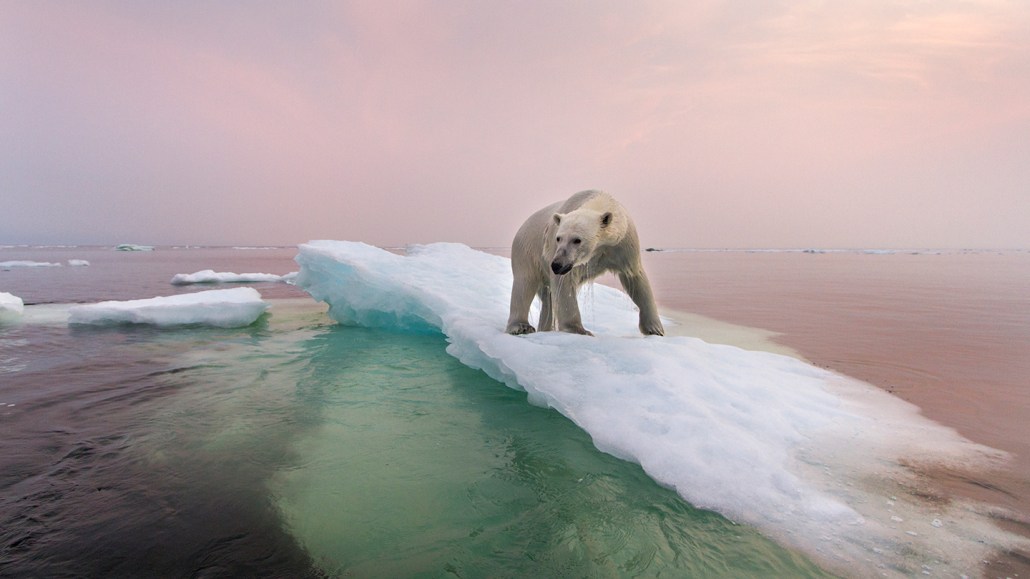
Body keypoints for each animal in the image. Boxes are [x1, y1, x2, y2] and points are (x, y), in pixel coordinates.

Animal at [506, 190, 665, 336]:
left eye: (577, 240)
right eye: (559, 238)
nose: (556, 265)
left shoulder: (623, 245)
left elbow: (635, 278)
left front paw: (655, 329)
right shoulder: (557, 252)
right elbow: (564, 285)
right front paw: (579, 330)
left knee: (547, 298)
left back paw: (545, 328)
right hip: (526, 251)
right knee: (524, 284)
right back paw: (521, 326)